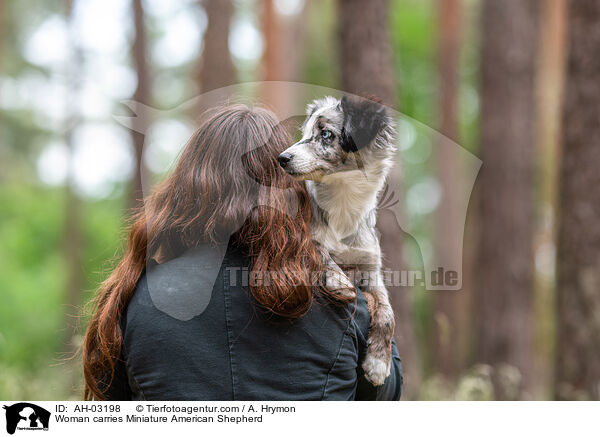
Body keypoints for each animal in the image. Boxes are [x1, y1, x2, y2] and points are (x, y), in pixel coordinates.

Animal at [278, 93, 398, 384]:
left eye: (325, 134)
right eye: (305, 133)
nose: (281, 158)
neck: (343, 202)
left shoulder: (371, 268)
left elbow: (388, 312)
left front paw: (378, 363)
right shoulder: (304, 235)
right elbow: (320, 250)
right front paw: (338, 280)